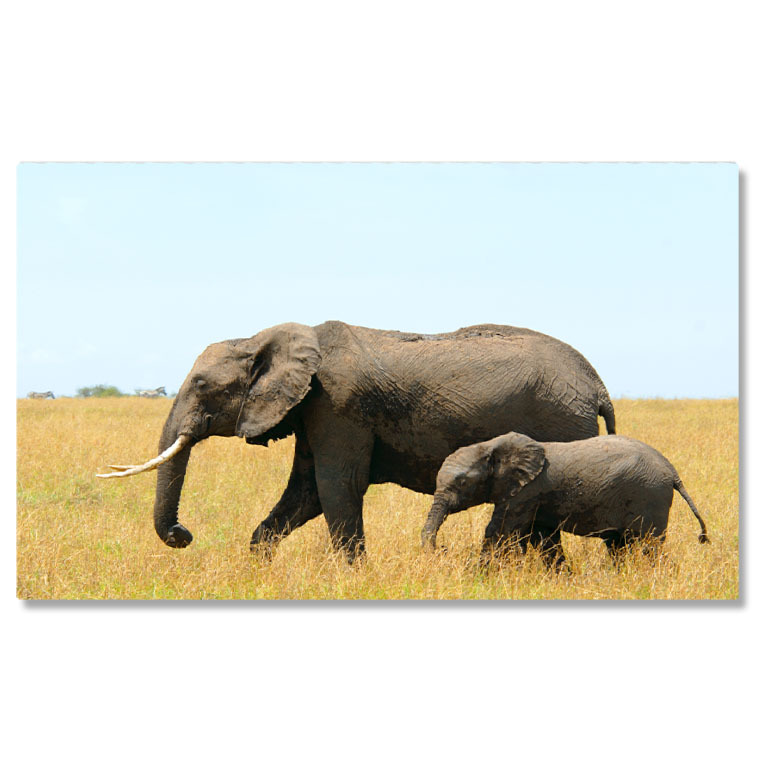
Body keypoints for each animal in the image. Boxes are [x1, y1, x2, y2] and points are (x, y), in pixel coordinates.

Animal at [97, 321, 616, 561]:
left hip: (561, 422)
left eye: (203, 386)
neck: (266, 336)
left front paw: (353, 576)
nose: (182, 534)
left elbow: (336, 488)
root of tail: (598, 385)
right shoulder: (312, 409)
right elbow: (305, 492)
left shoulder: (337, 406)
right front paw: (259, 567)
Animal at [421, 432, 708, 568]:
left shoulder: (527, 491)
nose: (442, 549)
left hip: (649, 496)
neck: (492, 445)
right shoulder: (535, 497)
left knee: (650, 545)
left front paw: (478, 575)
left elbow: (500, 532)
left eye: (462, 483)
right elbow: (544, 537)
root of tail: (673, 472)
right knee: (618, 545)